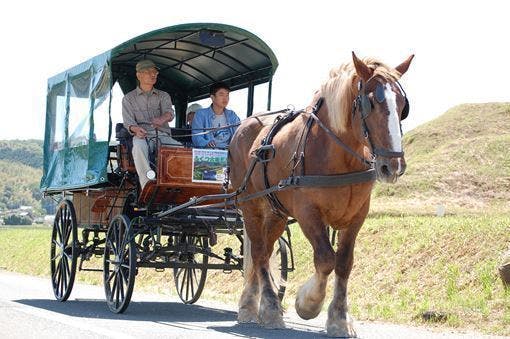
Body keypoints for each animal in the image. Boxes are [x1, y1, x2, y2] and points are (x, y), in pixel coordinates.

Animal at [229, 52, 412, 338]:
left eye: (403, 105)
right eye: (370, 103)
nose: (393, 165)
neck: (339, 155)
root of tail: (246, 124)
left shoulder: (357, 216)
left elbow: (344, 262)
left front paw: (339, 318)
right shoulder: (308, 213)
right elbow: (326, 259)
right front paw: (308, 303)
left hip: (276, 211)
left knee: (266, 251)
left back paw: (251, 303)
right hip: (250, 206)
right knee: (258, 252)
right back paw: (268, 308)